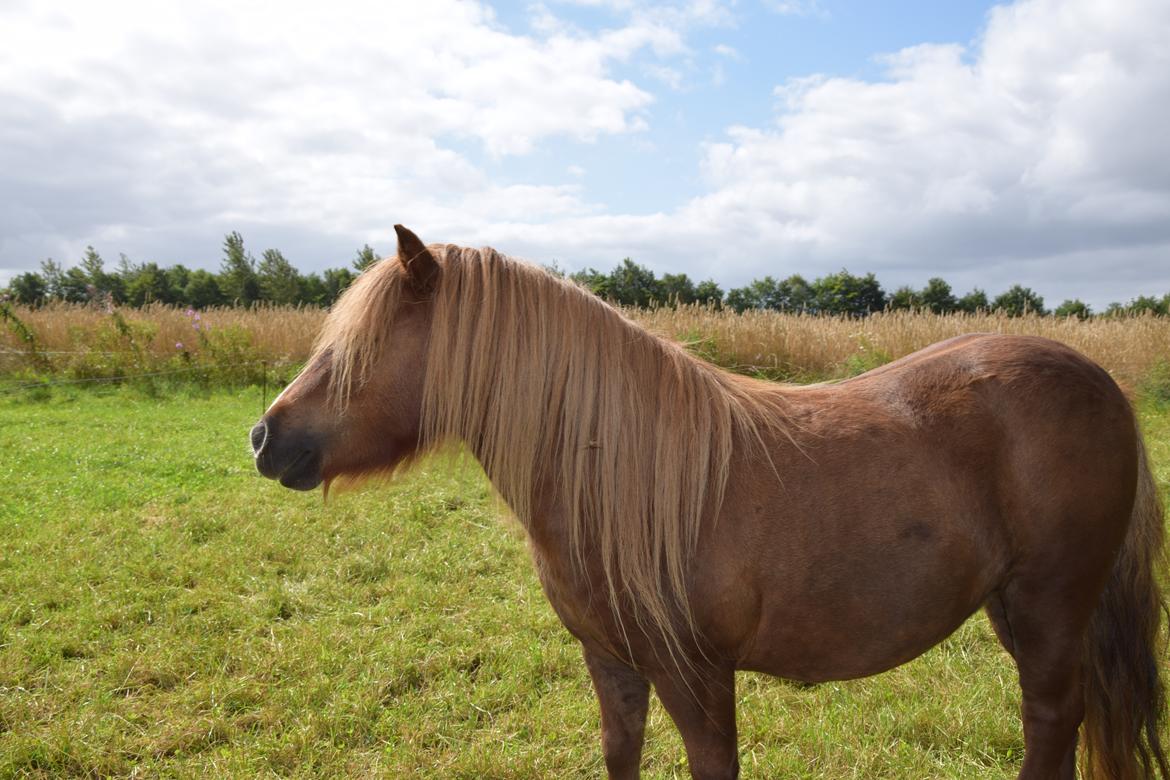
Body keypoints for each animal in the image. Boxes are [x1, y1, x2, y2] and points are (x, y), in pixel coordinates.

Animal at [251, 226, 1165, 780]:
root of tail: (1102, 383)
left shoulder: (697, 677)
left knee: (1050, 719)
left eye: (360, 348)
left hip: (1050, 606)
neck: (621, 476)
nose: (264, 437)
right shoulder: (611, 662)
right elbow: (621, 755)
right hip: (1017, 609)